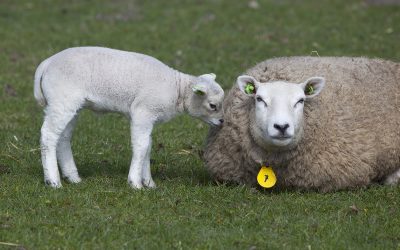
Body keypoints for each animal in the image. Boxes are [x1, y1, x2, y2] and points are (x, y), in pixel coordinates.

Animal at [34, 46, 225, 188]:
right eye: (212, 105)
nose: (223, 121)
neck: (177, 90)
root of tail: (47, 63)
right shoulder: (143, 112)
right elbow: (141, 146)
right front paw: (135, 183)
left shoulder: (149, 118)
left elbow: (148, 146)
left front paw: (149, 183)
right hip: (62, 101)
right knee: (48, 135)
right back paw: (53, 181)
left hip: (70, 105)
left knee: (63, 138)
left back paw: (72, 177)